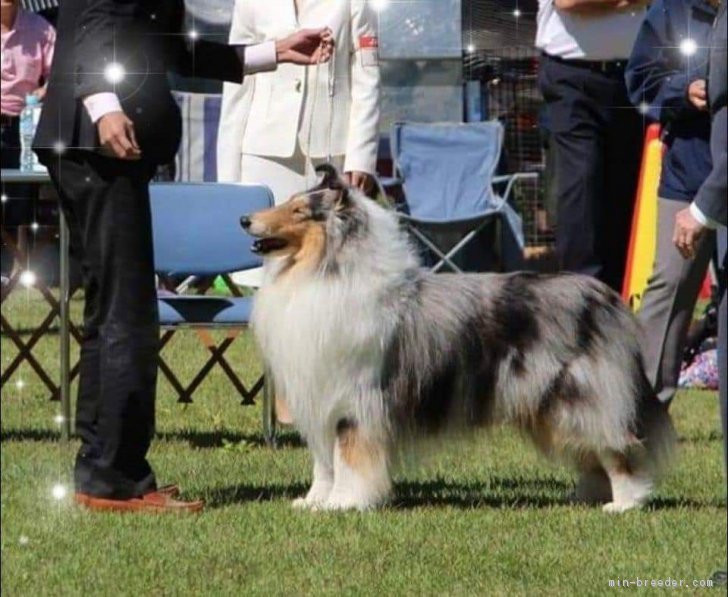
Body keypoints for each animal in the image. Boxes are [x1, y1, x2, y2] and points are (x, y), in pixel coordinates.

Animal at [245, 164, 676, 512]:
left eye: (299, 211)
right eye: (290, 202)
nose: (245, 219)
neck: (322, 272)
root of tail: (605, 298)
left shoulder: (355, 401)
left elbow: (348, 458)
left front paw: (345, 503)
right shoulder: (319, 397)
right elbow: (324, 463)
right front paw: (313, 502)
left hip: (579, 399)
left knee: (618, 448)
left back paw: (625, 503)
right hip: (552, 409)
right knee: (593, 456)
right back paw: (586, 497)